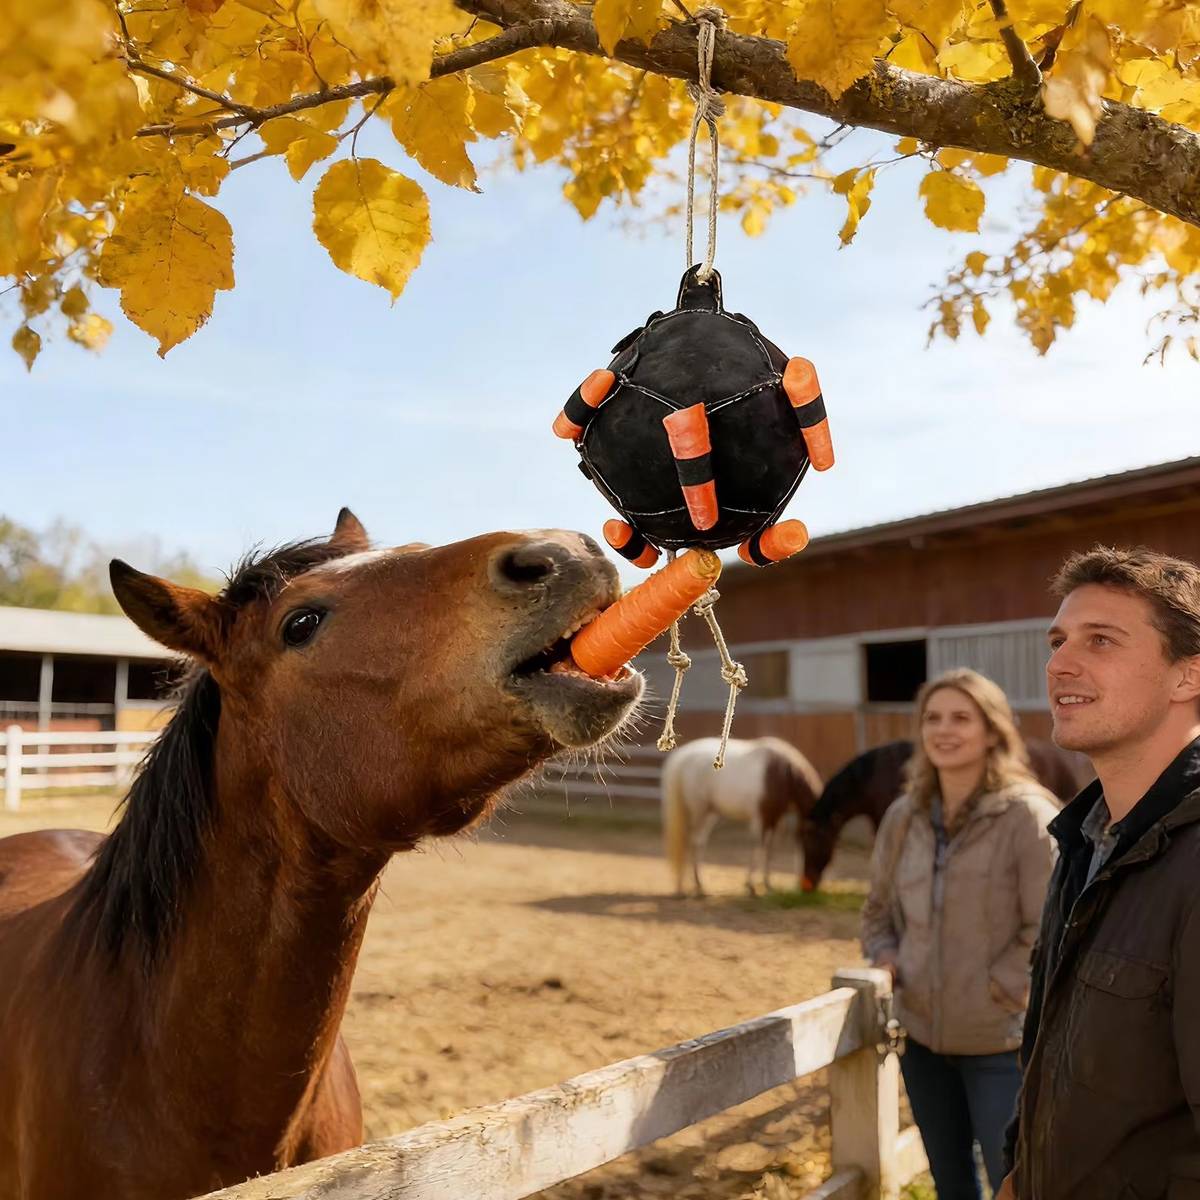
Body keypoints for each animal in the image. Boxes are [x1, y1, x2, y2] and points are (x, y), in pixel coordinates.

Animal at [661, 736, 823, 897]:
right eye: (812, 844)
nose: (806, 885)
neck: (782, 773)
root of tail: (681, 757)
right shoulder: (761, 818)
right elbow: (759, 847)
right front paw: (751, 885)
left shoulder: (774, 819)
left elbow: (769, 850)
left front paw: (768, 884)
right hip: (698, 811)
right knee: (691, 842)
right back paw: (689, 886)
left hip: (708, 814)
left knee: (697, 843)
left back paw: (695, 885)